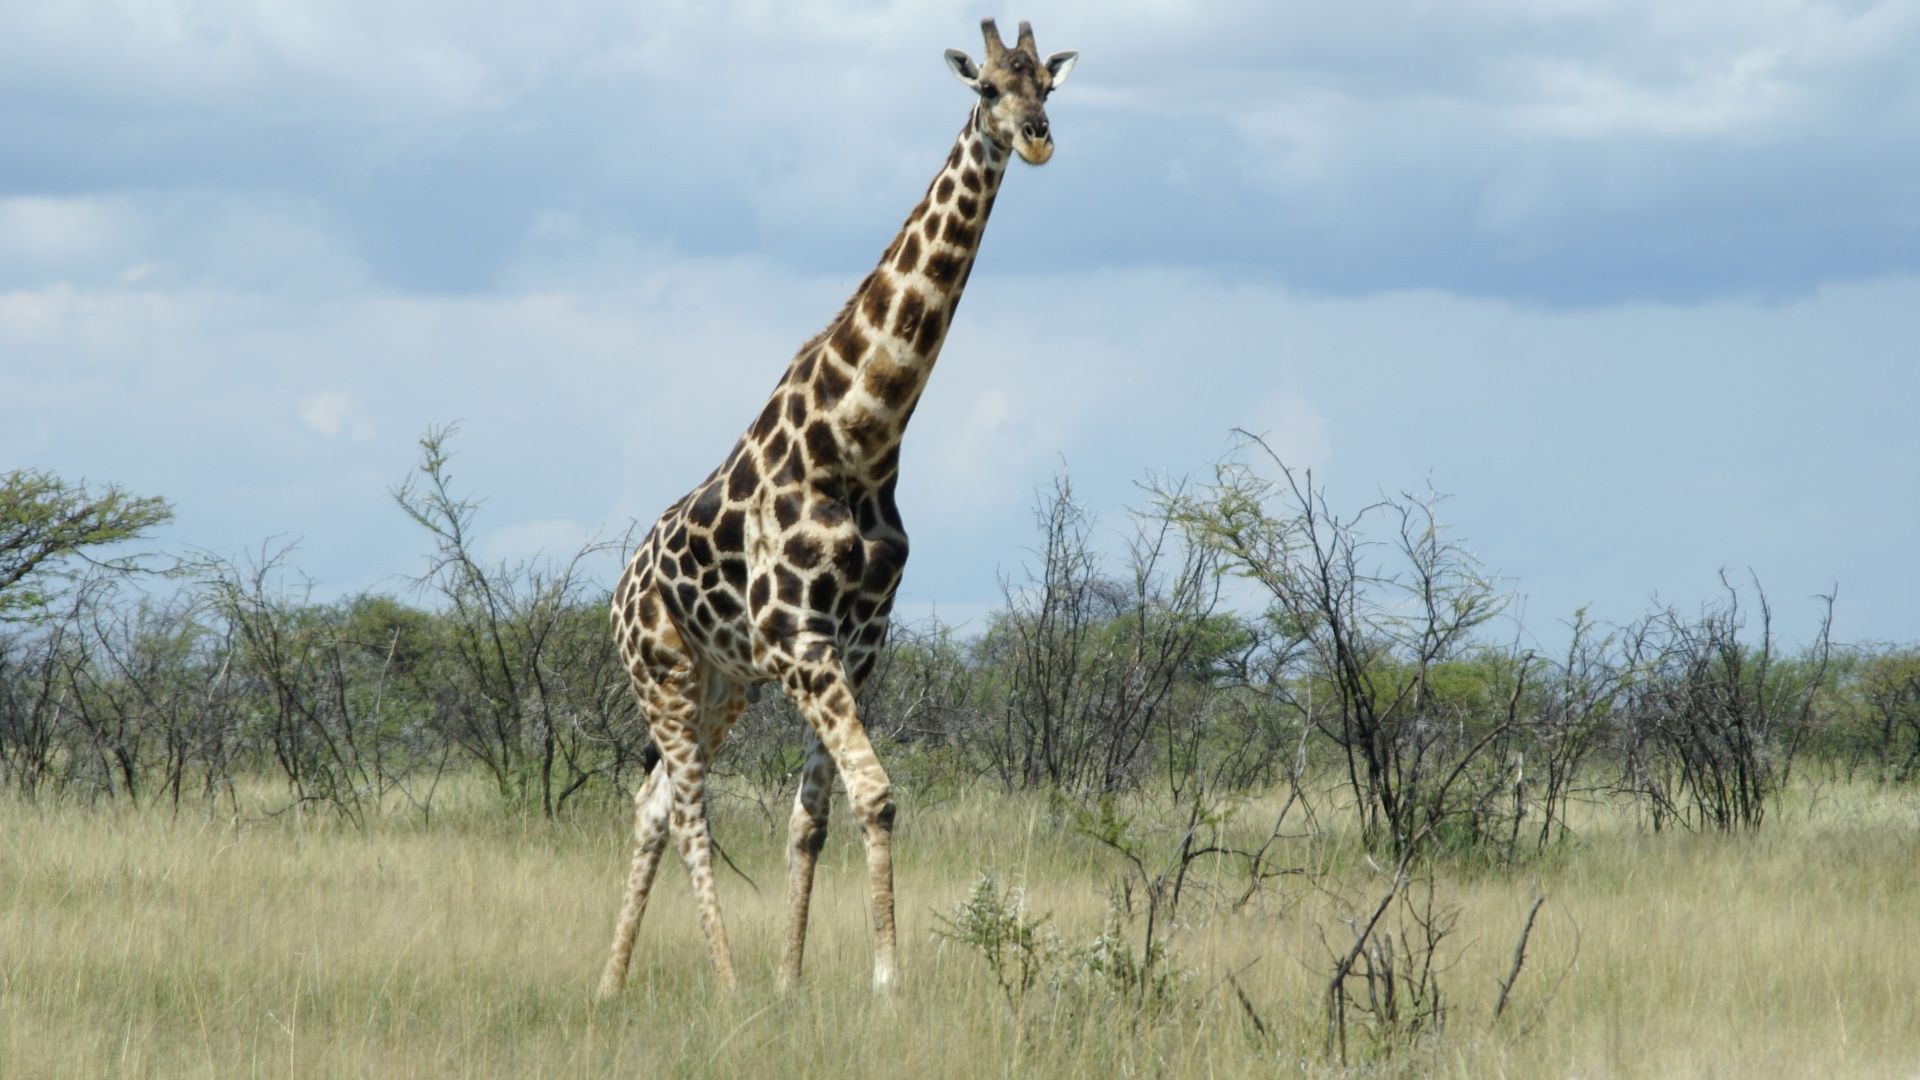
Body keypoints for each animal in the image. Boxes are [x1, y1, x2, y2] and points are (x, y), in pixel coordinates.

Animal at [599, 18, 1082, 991]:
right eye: (987, 88)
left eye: (1047, 84)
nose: (1039, 137)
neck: (860, 443)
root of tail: (618, 591)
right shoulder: (802, 638)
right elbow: (876, 793)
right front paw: (884, 982)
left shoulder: (856, 650)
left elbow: (814, 815)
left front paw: (794, 980)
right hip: (661, 670)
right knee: (690, 811)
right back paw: (724, 981)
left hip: (722, 681)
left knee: (652, 802)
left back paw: (610, 984)